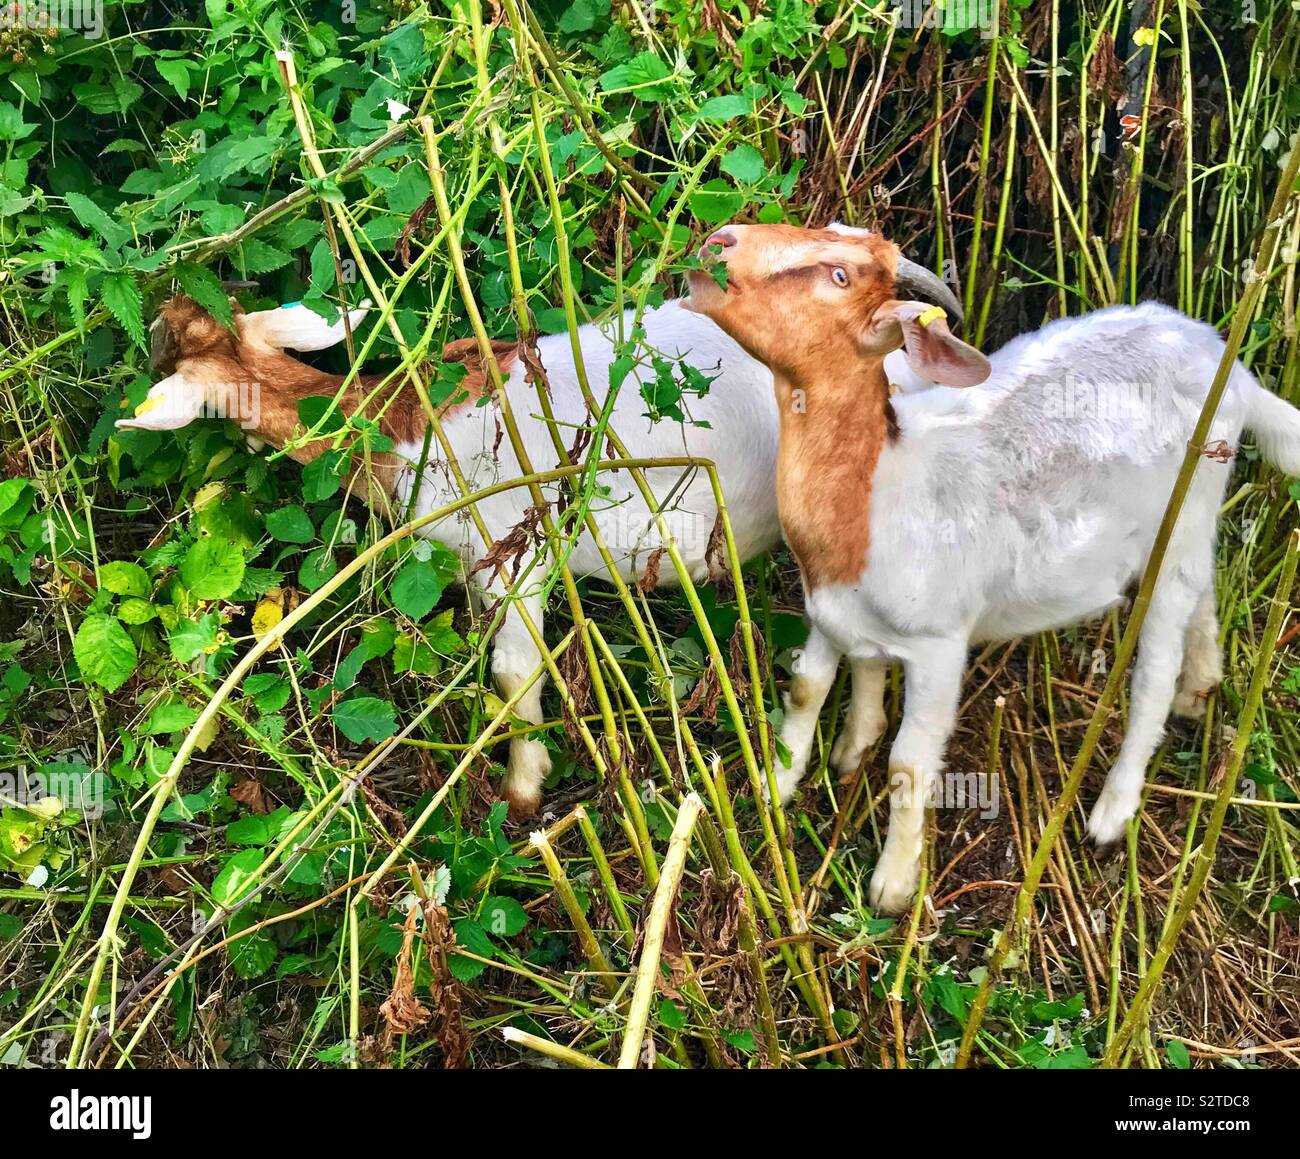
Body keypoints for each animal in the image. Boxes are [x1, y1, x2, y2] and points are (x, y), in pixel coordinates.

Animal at [686, 222, 1300, 914]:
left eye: (839, 276)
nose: (719, 241)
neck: (880, 487)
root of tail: (1231, 364)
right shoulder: (831, 607)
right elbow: (810, 687)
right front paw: (791, 779)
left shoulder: (939, 644)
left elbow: (908, 764)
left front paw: (893, 887)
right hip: (1194, 523)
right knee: (1205, 589)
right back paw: (1203, 683)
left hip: (1179, 522)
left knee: (1154, 674)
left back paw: (1113, 810)